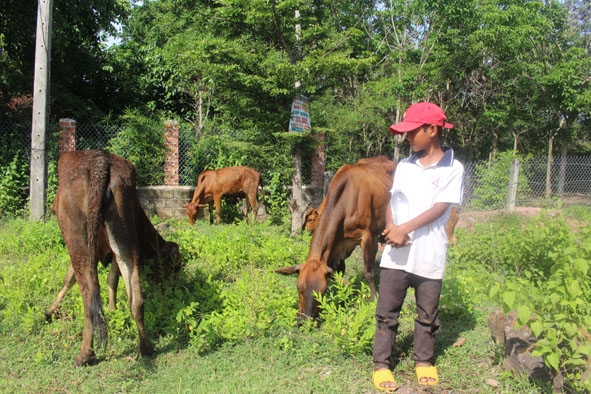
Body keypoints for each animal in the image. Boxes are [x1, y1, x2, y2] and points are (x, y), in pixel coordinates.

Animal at [53, 150, 183, 366]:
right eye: (174, 267)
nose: (174, 290)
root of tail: (100, 162)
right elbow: (112, 279)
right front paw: (113, 308)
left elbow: (69, 279)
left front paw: (49, 311)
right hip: (123, 237)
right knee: (136, 299)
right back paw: (145, 347)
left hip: (79, 242)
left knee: (89, 296)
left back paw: (85, 354)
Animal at [278, 157, 398, 320]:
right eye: (298, 287)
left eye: (322, 291)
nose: (306, 319)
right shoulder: (338, 244)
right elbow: (339, 273)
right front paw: (342, 296)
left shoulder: (368, 237)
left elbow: (368, 273)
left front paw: (373, 299)